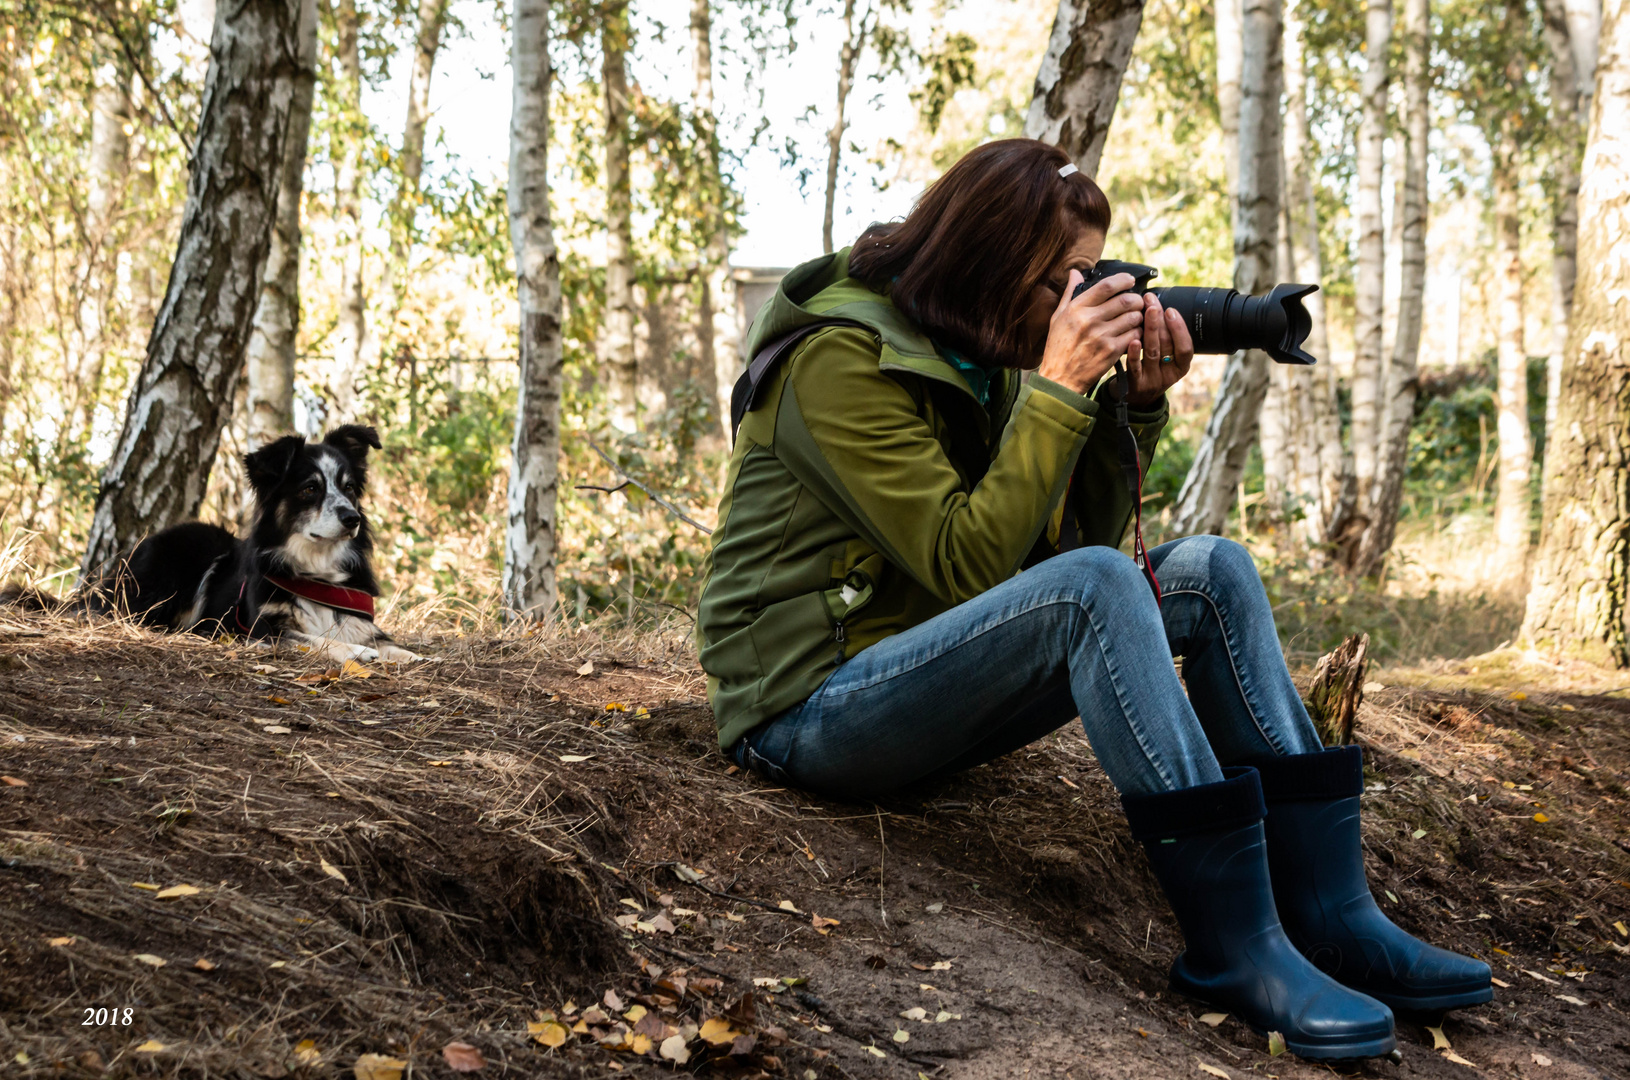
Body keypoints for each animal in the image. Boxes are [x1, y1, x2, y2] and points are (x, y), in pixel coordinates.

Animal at [7, 423, 420, 664]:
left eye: (348, 488)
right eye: (310, 489)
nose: (352, 519)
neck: (315, 571)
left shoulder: (360, 621)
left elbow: (389, 644)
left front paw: (406, 655)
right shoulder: (259, 629)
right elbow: (316, 639)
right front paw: (358, 652)